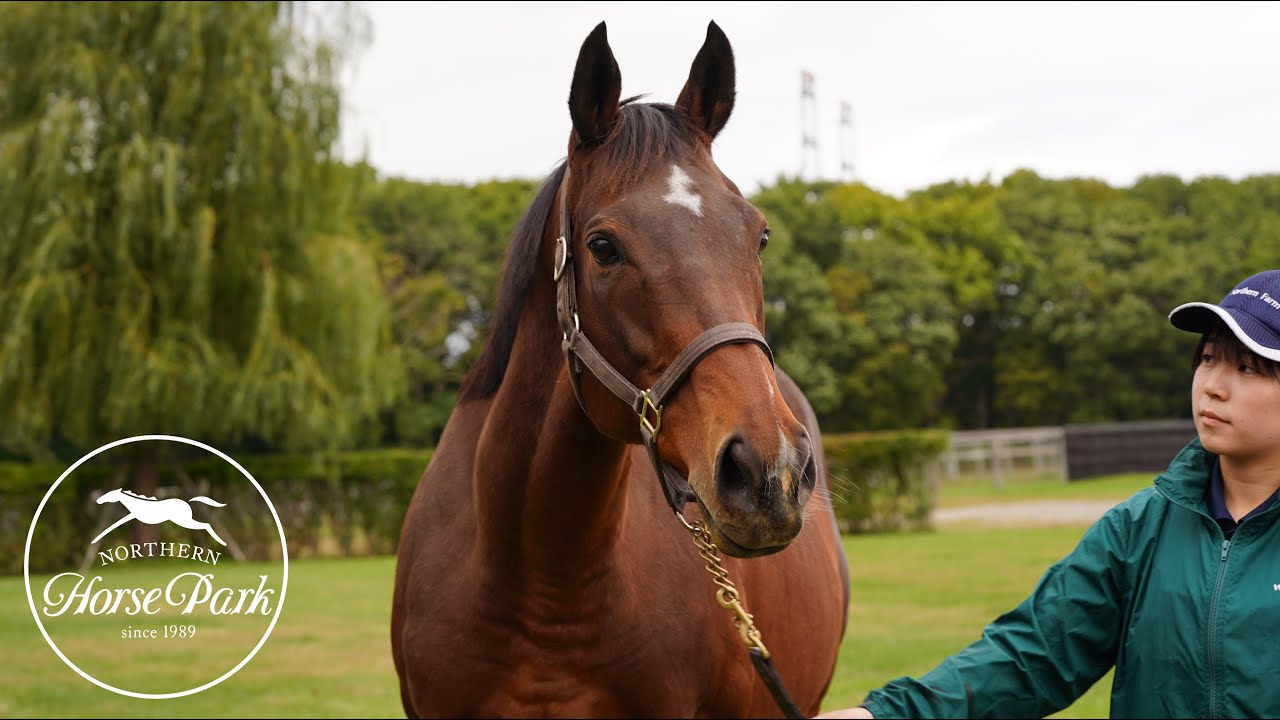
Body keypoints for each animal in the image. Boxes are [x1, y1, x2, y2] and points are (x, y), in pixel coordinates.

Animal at [92, 488, 228, 546]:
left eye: (110, 494)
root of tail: (188, 503)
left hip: (183, 521)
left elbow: (114, 525)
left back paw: (221, 541)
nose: (98, 501)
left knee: (206, 525)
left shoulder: (131, 516)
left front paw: (95, 539)